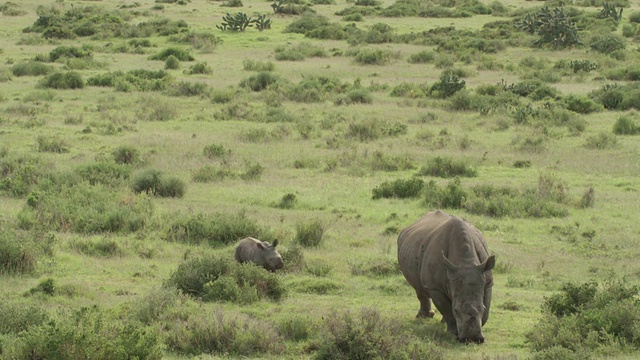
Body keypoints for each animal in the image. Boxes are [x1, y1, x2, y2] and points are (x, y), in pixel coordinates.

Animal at [398, 211, 498, 344]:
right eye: (456, 310)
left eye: (482, 307)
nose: (471, 339)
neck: (465, 262)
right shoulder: (435, 287)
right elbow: (447, 310)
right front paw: (452, 333)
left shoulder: (487, 281)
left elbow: (486, 307)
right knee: (418, 286)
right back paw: (424, 316)